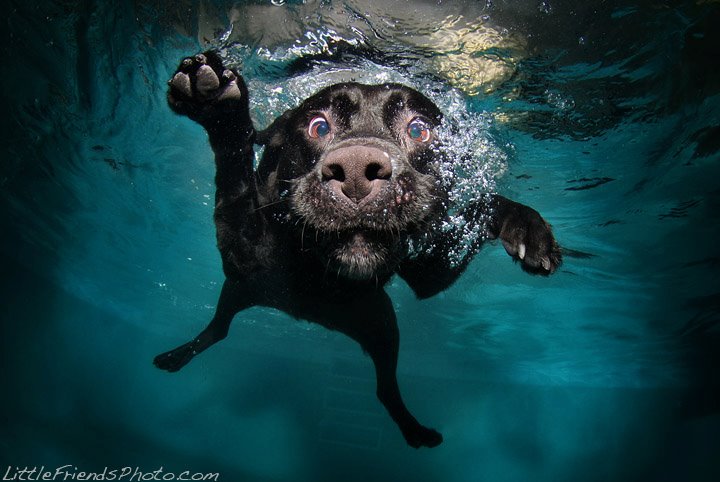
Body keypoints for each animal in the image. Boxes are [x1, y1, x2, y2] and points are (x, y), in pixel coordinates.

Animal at [154, 51, 561, 448]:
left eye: (418, 129)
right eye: (318, 126)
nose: (354, 171)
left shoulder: (430, 271)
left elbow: (482, 205)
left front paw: (526, 226)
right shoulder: (243, 253)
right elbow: (235, 179)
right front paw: (219, 106)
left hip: (381, 325)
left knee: (384, 388)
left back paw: (415, 431)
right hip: (240, 291)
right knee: (219, 329)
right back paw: (176, 356)